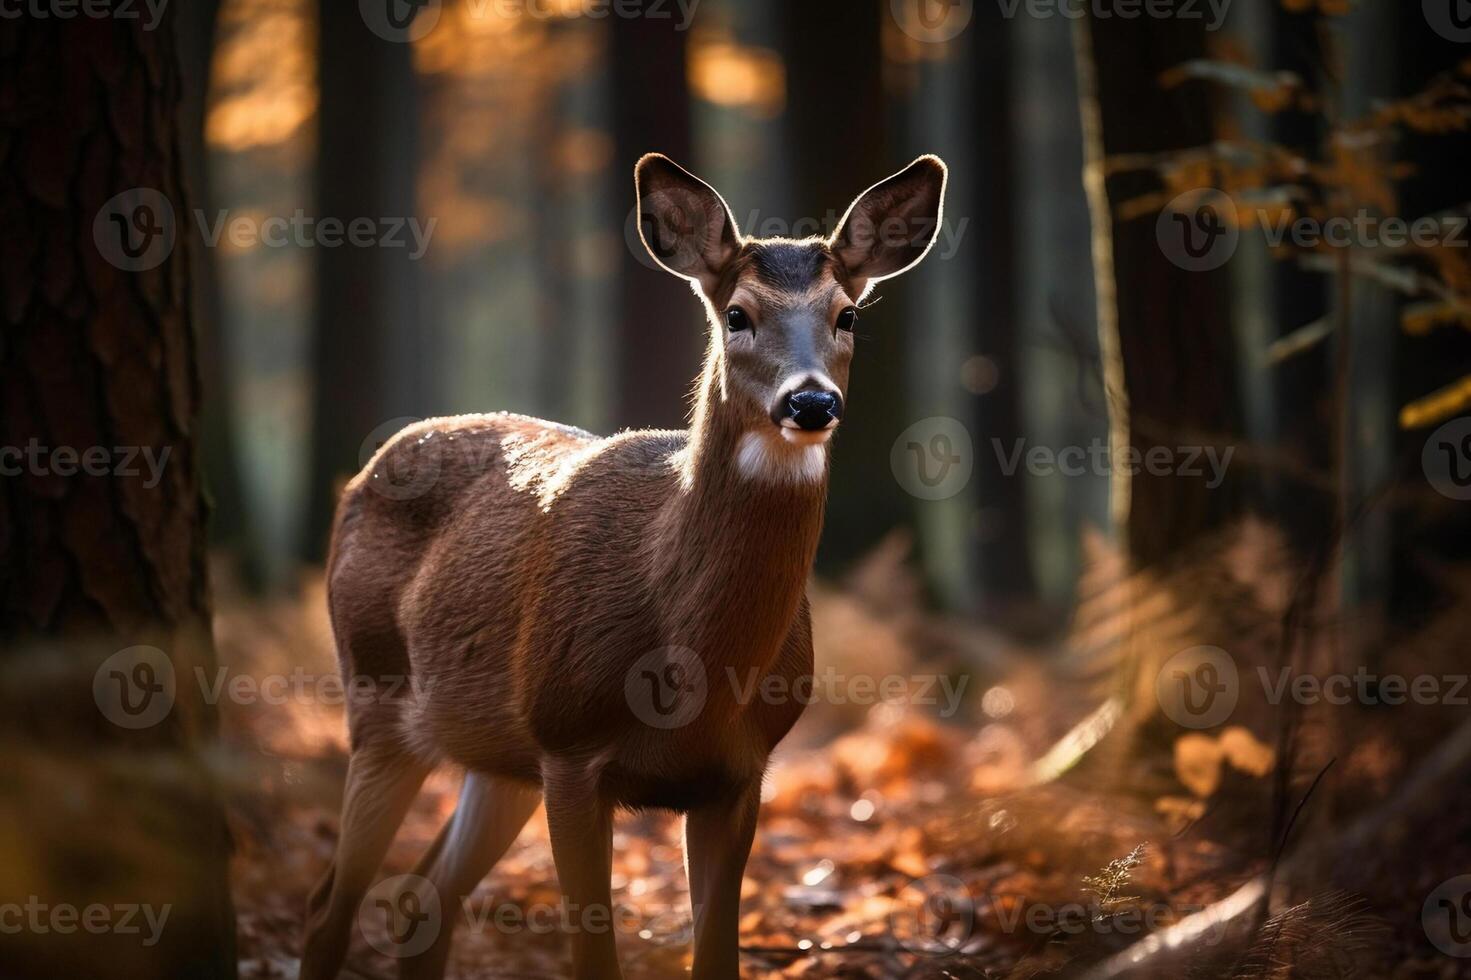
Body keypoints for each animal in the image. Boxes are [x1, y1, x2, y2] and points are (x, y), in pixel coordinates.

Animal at [292, 153, 947, 977]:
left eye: (847, 315)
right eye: (737, 314)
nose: (811, 403)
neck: (692, 674)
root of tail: (368, 469)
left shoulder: (741, 772)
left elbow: (717, 957)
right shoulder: (569, 746)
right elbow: (593, 954)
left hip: (497, 755)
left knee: (423, 896)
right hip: (379, 699)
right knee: (329, 909)